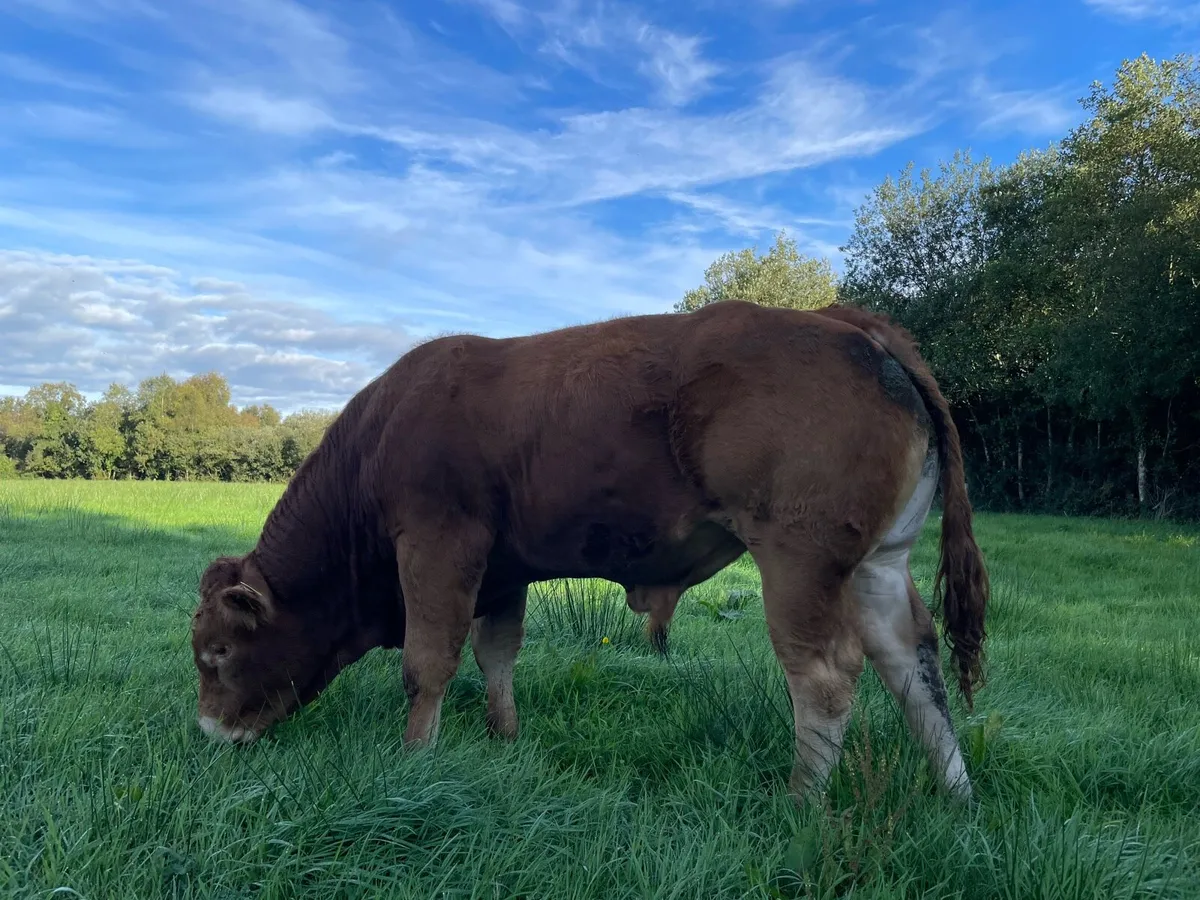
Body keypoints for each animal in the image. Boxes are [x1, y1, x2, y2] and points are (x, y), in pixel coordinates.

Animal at [191, 300, 989, 805]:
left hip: (800, 559)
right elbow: (496, 652)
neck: (379, 438)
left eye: (217, 654)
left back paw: (799, 802)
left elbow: (427, 663)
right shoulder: (502, 569)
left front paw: (414, 759)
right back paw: (958, 798)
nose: (208, 734)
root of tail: (846, 321)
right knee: (912, 660)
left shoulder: (437, 542)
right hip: (878, 565)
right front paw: (504, 738)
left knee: (826, 675)